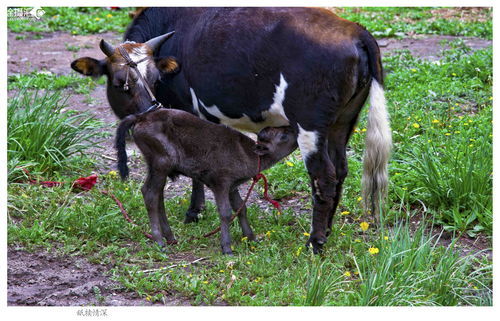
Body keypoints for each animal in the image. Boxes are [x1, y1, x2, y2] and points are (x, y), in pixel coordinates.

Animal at [71, 6, 390, 252]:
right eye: (120, 83)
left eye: (154, 78)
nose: (147, 113)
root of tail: (355, 30)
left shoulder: (191, 109)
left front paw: (193, 211)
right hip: (342, 122)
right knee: (341, 170)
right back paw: (329, 230)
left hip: (309, 125)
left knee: (323, 176)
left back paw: (315, 241)